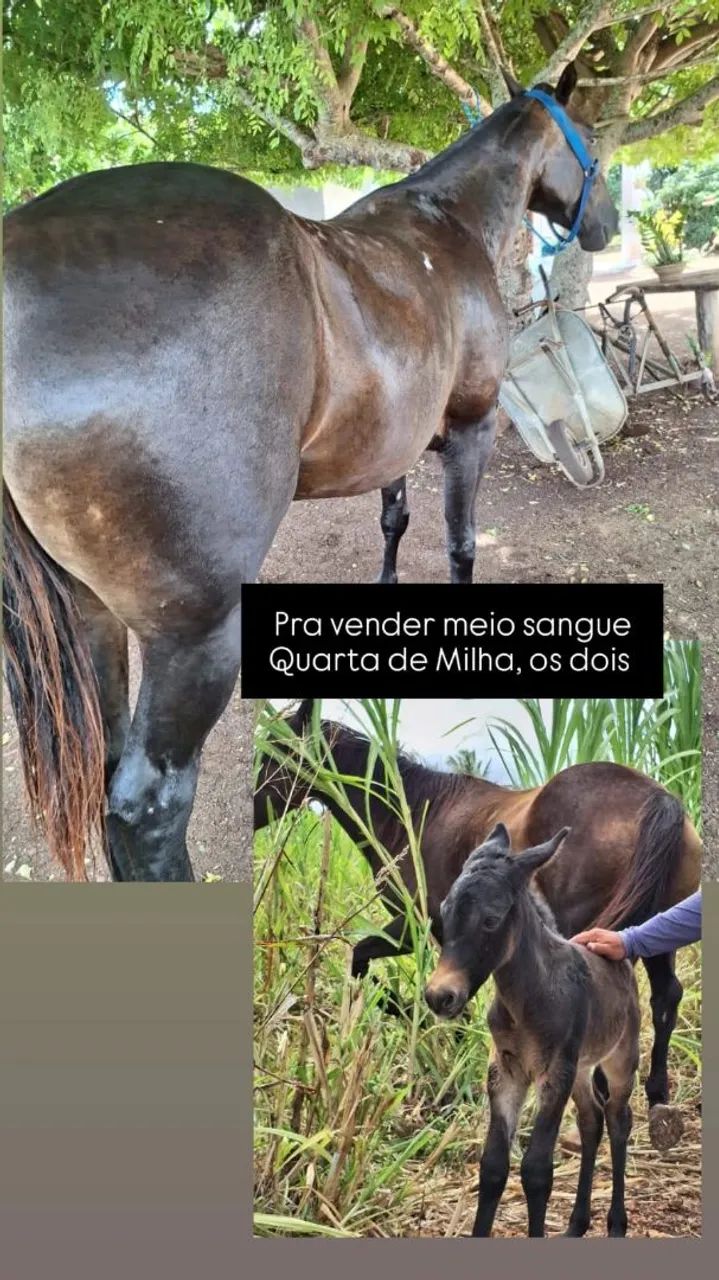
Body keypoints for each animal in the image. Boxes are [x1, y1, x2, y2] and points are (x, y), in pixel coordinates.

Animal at [2, 61, 616, 881]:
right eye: (592, 151)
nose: (607, 225)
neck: (445, 229)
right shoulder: (471, 428)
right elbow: (459, 544)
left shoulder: (395, 444)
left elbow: (394, 520)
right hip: (197, 639)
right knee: (149, 808)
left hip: (87, 613)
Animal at [254, 700, 700, 1126]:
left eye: (272, 754)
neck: (414, 812)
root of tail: (656, 800)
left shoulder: (416, 927)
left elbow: (362, 958)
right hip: (652, 932)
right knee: (665, 997)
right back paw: (655, 1097)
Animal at [425, 824, 640, 1238]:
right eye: (444, 913)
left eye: (491, 920)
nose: (439, 996)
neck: (529, 1000)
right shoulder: (506, 1071)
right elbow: (493, 1166)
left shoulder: (554, 1072)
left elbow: (537, 1170)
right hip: (580, 1068)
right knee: (591, 1122)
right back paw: (576, 1225)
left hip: (620, 1058)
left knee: (618, 1120)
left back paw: (616, 1224)